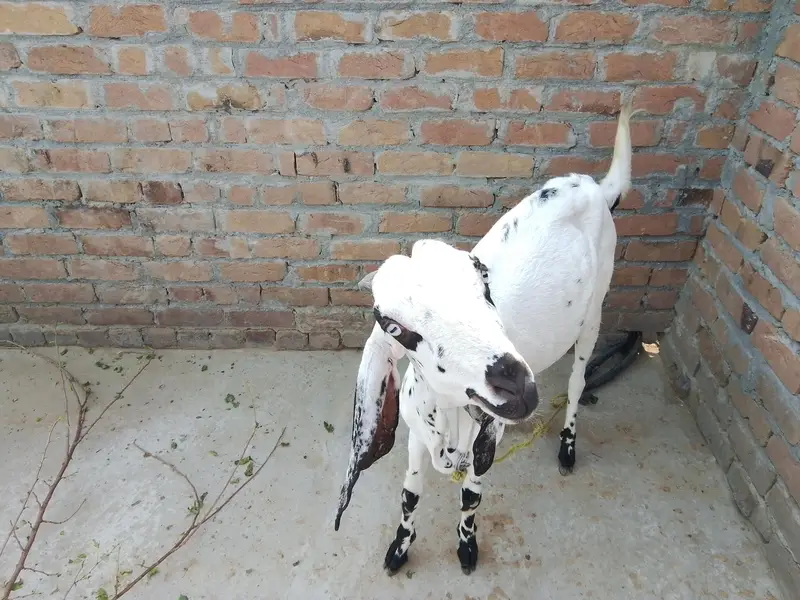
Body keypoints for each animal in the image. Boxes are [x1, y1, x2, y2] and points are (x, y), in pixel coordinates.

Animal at [334, 98, 638, 576]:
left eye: (483, 282)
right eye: (394, 327)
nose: (517, 384)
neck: (449, 416)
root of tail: (593, 187)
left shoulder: (487, 438)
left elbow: (471, 496)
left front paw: (466, 547)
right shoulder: (416, 436)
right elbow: (410, 496)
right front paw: (400, 548)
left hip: (594, 313)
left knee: (577, 381)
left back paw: (568, 446)